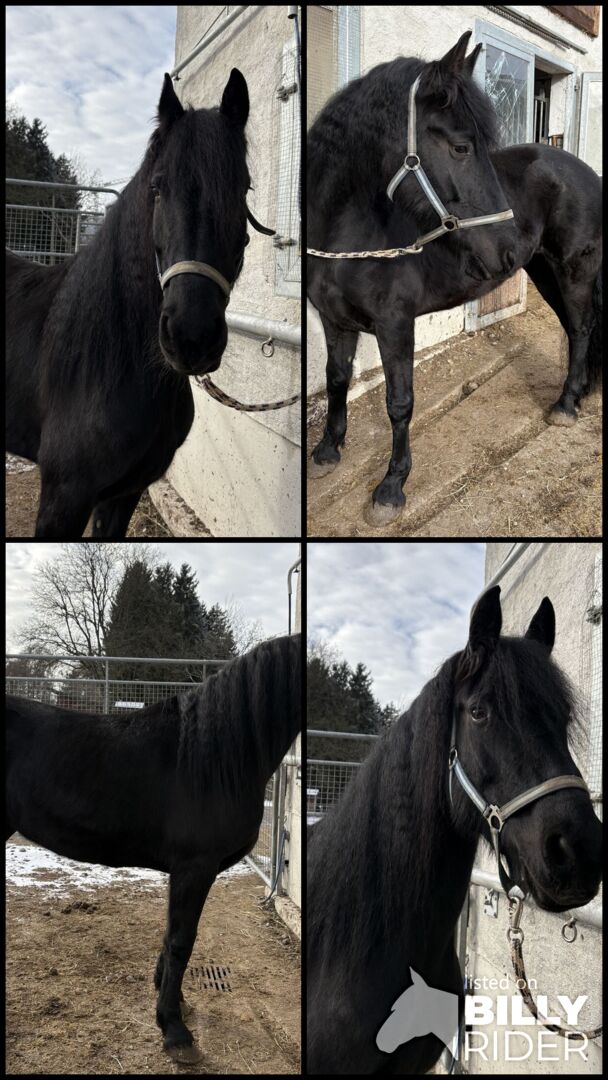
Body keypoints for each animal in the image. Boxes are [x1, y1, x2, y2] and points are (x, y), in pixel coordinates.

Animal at [6, 634, 301, 1063]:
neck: (214, 757)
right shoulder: (194, 868)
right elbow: (181, 941)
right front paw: (175, 1031)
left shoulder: (186, 873)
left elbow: (171, 935)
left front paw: (173, 1002)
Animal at [307, 32, 602, 526]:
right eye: (463, 147)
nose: (505, 248)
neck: (348, 237)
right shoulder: (334, 322)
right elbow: (336, 380)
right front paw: (329, 451)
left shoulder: (394, 325)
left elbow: (399, 402)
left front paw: (391, 488)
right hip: (545, 272)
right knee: (573, 328)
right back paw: (576, 395)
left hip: (573, 271)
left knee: (581, 330)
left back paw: (564, 407)